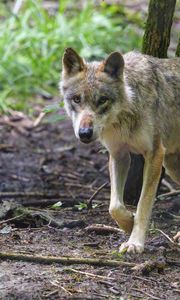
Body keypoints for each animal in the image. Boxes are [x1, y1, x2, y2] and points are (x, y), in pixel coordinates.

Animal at [60, 47, 180, 253]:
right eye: (76, 99)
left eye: (102, 100)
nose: (85, 133)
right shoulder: (118, 155)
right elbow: (114, 206)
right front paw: (128, 224)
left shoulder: (155, 154)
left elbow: (143, 205)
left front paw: (135, 243)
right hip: (172, 165)